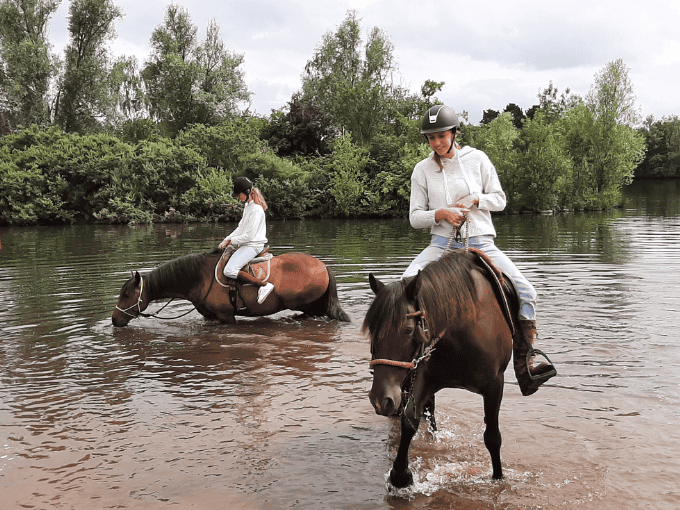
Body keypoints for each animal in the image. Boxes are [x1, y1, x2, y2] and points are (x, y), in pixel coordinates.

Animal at [111, 250, 350, 328]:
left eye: (126, 294)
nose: (114, 319)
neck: (200, 278)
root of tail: (322, 266)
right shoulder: (210, 317)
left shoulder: (226, 317)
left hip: (309, 306)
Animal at [364, 249, 512, 488]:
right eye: (371, 330)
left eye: (408, 330)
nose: (380, 400)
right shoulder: (425, 378)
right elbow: (409, 420)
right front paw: (400, 475)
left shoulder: (495, 385)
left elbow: (492, 436)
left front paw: (498, 477)